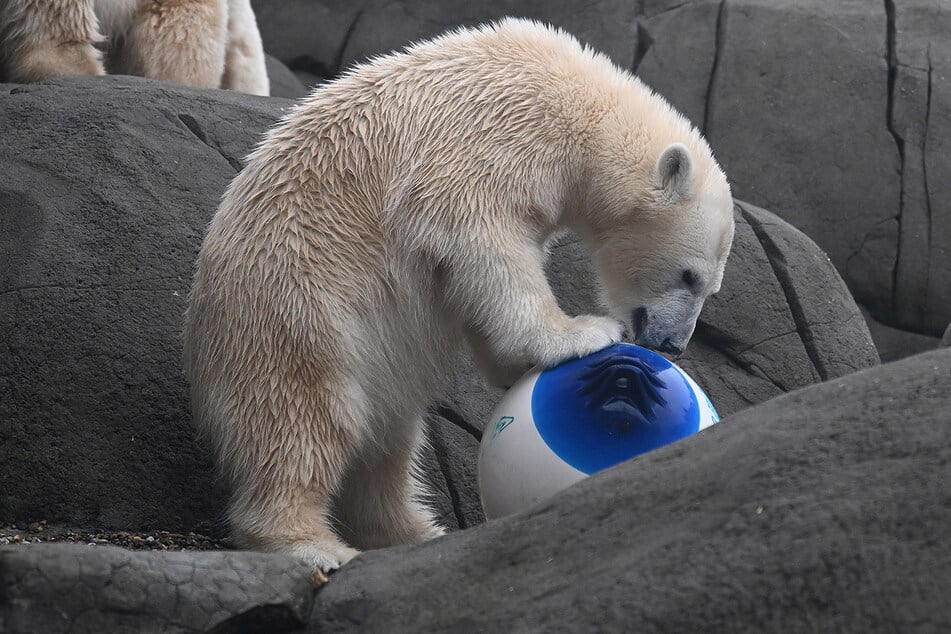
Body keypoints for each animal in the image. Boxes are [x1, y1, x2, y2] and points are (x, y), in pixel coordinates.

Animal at [184, 17, 736, 572]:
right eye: (689, 276)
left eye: (710, 287)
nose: (674, 344)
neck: (581, 108)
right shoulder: (494, 140)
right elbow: (480, 239)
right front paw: (582, 333)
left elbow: (470, 284)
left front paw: (515, 364)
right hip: (300, 300)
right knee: (305, 415)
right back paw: (311, 543)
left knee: (389, 438)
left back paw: (414, 530)